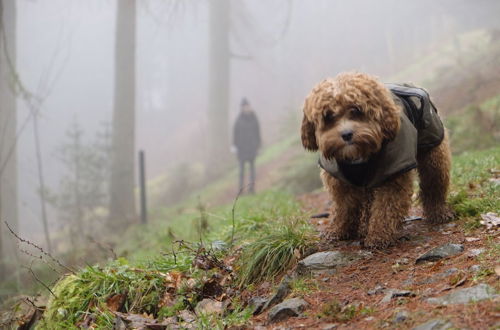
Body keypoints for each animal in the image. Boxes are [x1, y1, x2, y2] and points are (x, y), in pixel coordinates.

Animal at [298, 72, 456, 248]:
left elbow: (385, 208)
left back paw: (439, 212)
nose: (346, 134)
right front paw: (338, 230)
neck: (359, 156)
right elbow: (344, 207)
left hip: (433, 154)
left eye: (356, 110)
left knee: (434, 184)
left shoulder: (393, 173)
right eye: (328, 116)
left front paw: (378, 236)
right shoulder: (340, 180)